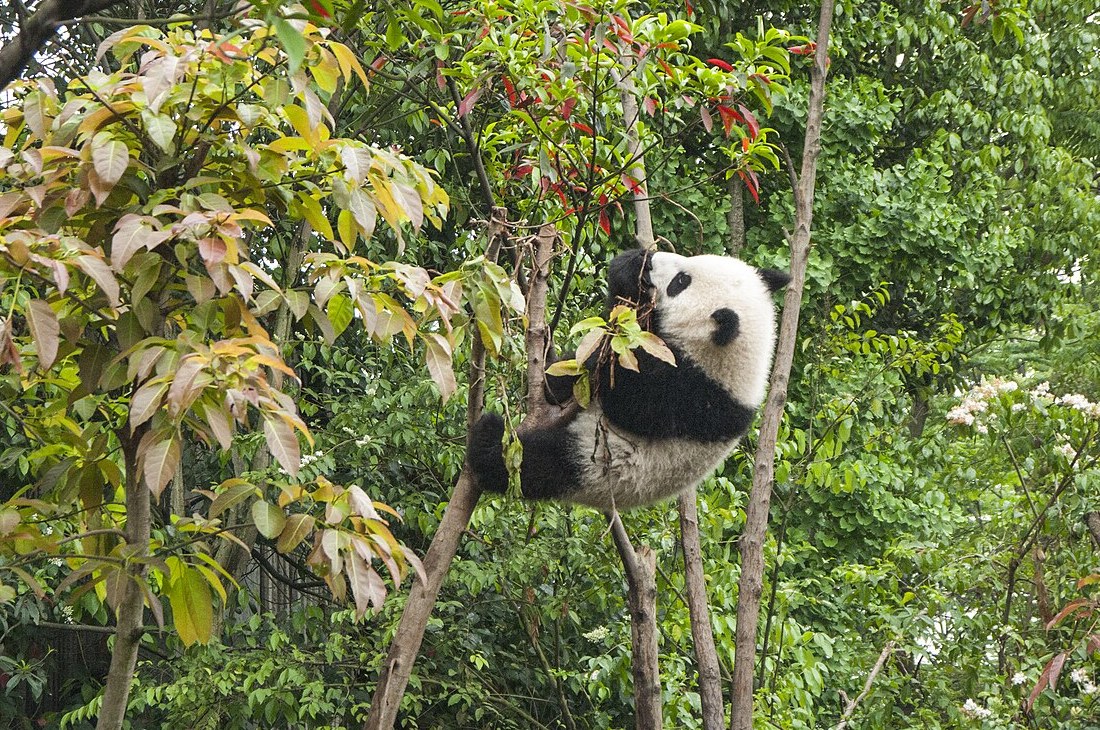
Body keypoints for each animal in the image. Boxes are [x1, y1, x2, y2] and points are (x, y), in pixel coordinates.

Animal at [467, 248, 789, 510]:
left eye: (681, 282)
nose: (653, 258)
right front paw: (630, 266)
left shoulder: (695, 397)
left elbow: (628, 401)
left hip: (596, 465)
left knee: (536, 464)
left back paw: (488, 440)